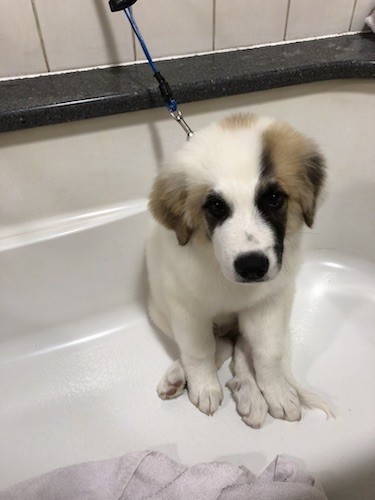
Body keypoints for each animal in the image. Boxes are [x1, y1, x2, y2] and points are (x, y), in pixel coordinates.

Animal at [147, 114, 332, 430]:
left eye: (274, 198)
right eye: (216, 206)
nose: (252, 266)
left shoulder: (267, 304)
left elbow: (268, 354)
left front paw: (277, 391)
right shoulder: (187, 310)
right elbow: (198, 350)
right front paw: (204, 386)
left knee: (242, 353)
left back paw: (250, 397)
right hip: (160, 313)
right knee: (218, 344)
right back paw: (178, 376)